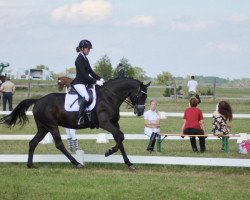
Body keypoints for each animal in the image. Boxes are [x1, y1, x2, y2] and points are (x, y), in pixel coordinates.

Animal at [0, 78, 150, 169]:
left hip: (43, 128)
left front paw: (129, 163)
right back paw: (77, 163)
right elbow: (120, 136)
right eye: (140, 95)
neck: (109, 97)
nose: (140, 112)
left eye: (146, 96)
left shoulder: (114, 124)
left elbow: (120, 139)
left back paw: (30, 165)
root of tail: (37, 101)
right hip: (52, 126)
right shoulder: (106, 123)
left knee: (33, 143)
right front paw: (109, 152)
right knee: (59, 144)